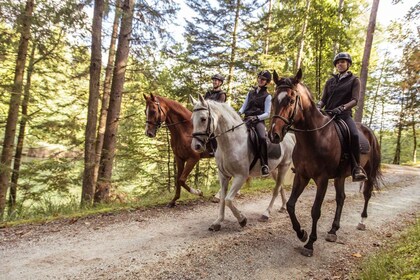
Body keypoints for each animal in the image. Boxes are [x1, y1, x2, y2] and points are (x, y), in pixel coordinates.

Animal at [190, 94, 296, 230]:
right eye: (192, 119)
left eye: (203, 119)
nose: (196, 146)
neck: (231, 142)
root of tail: (288, 136)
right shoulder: (223, 176)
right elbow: (223, 199)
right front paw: (218, 222)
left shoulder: (241, 176)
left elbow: (229, 200)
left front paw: (242, 220)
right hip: (273, 169)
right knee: (280, 186)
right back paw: (282, 207)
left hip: (284, 166)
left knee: (276, 189)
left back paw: (266, 214)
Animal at [270, 69, 380, 258]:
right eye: (273, 99)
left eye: (291, 100)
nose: (274, 134)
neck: (315, 136)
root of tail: (369, 131)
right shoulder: (302, 175)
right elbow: (291, 205)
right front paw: (301, 233)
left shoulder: (322, 179)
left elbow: (315, 210)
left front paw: (310, 244)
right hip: (340, 177)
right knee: (341, 198)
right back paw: (333, 230)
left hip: (369, 172)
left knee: (367, 194)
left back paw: (362, 221)